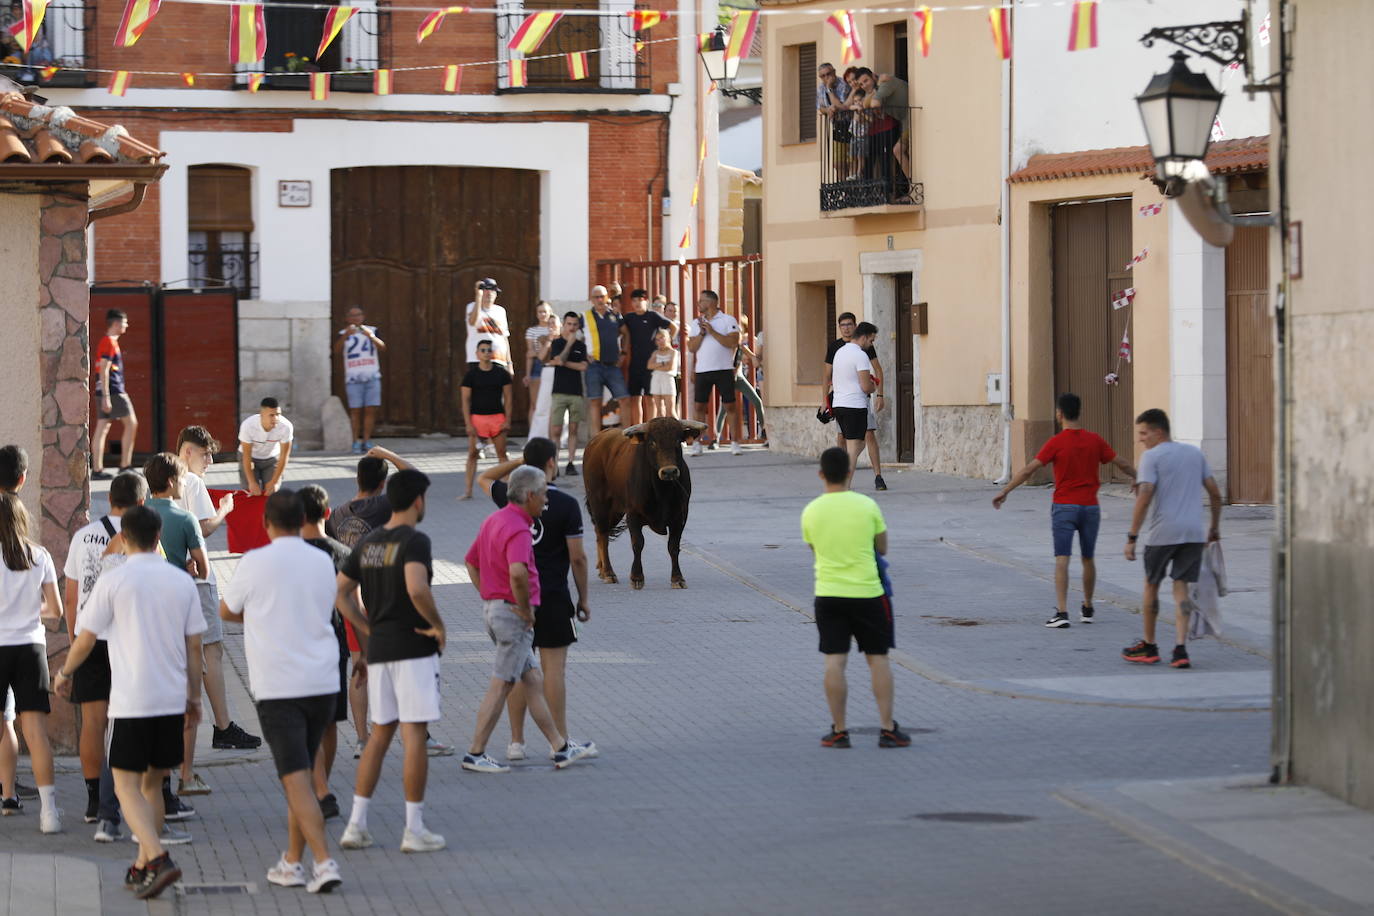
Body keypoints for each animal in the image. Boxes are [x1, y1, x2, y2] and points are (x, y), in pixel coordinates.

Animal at [582, 420, 708, 590]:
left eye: (677, 440)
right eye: (652, 442)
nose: (669, 472)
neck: (662, 492)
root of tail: (596, 440)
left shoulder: (680, 517)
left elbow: (673, 546)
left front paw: (677, 578)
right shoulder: (633, 515)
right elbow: (638, 543)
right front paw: (636, 577)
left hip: (615, 511)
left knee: (600, 532)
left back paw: (602, 569)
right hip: (600, 504)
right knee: (602, 534)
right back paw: (608, 572)